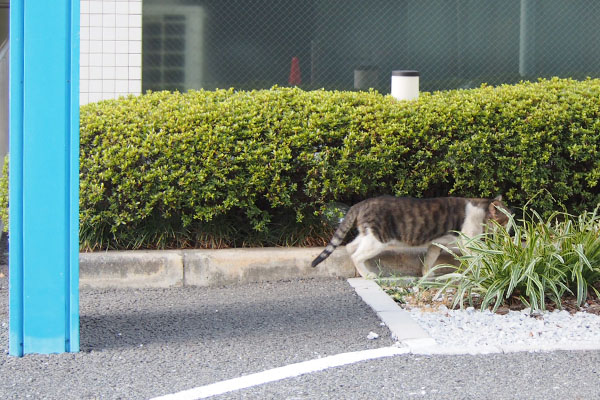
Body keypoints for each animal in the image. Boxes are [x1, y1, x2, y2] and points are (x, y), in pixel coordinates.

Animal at [312, 195, 508, 278]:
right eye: (505, 221)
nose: (510, 232)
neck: (480, 209)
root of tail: (360, 204)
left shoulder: (436, 243)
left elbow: (430, 258)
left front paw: (426, 274)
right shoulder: (468, 242)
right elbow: (478, 255)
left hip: (367, 235)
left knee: (350, 246)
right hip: (378, 240)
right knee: (356, 255)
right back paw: (368, 275)